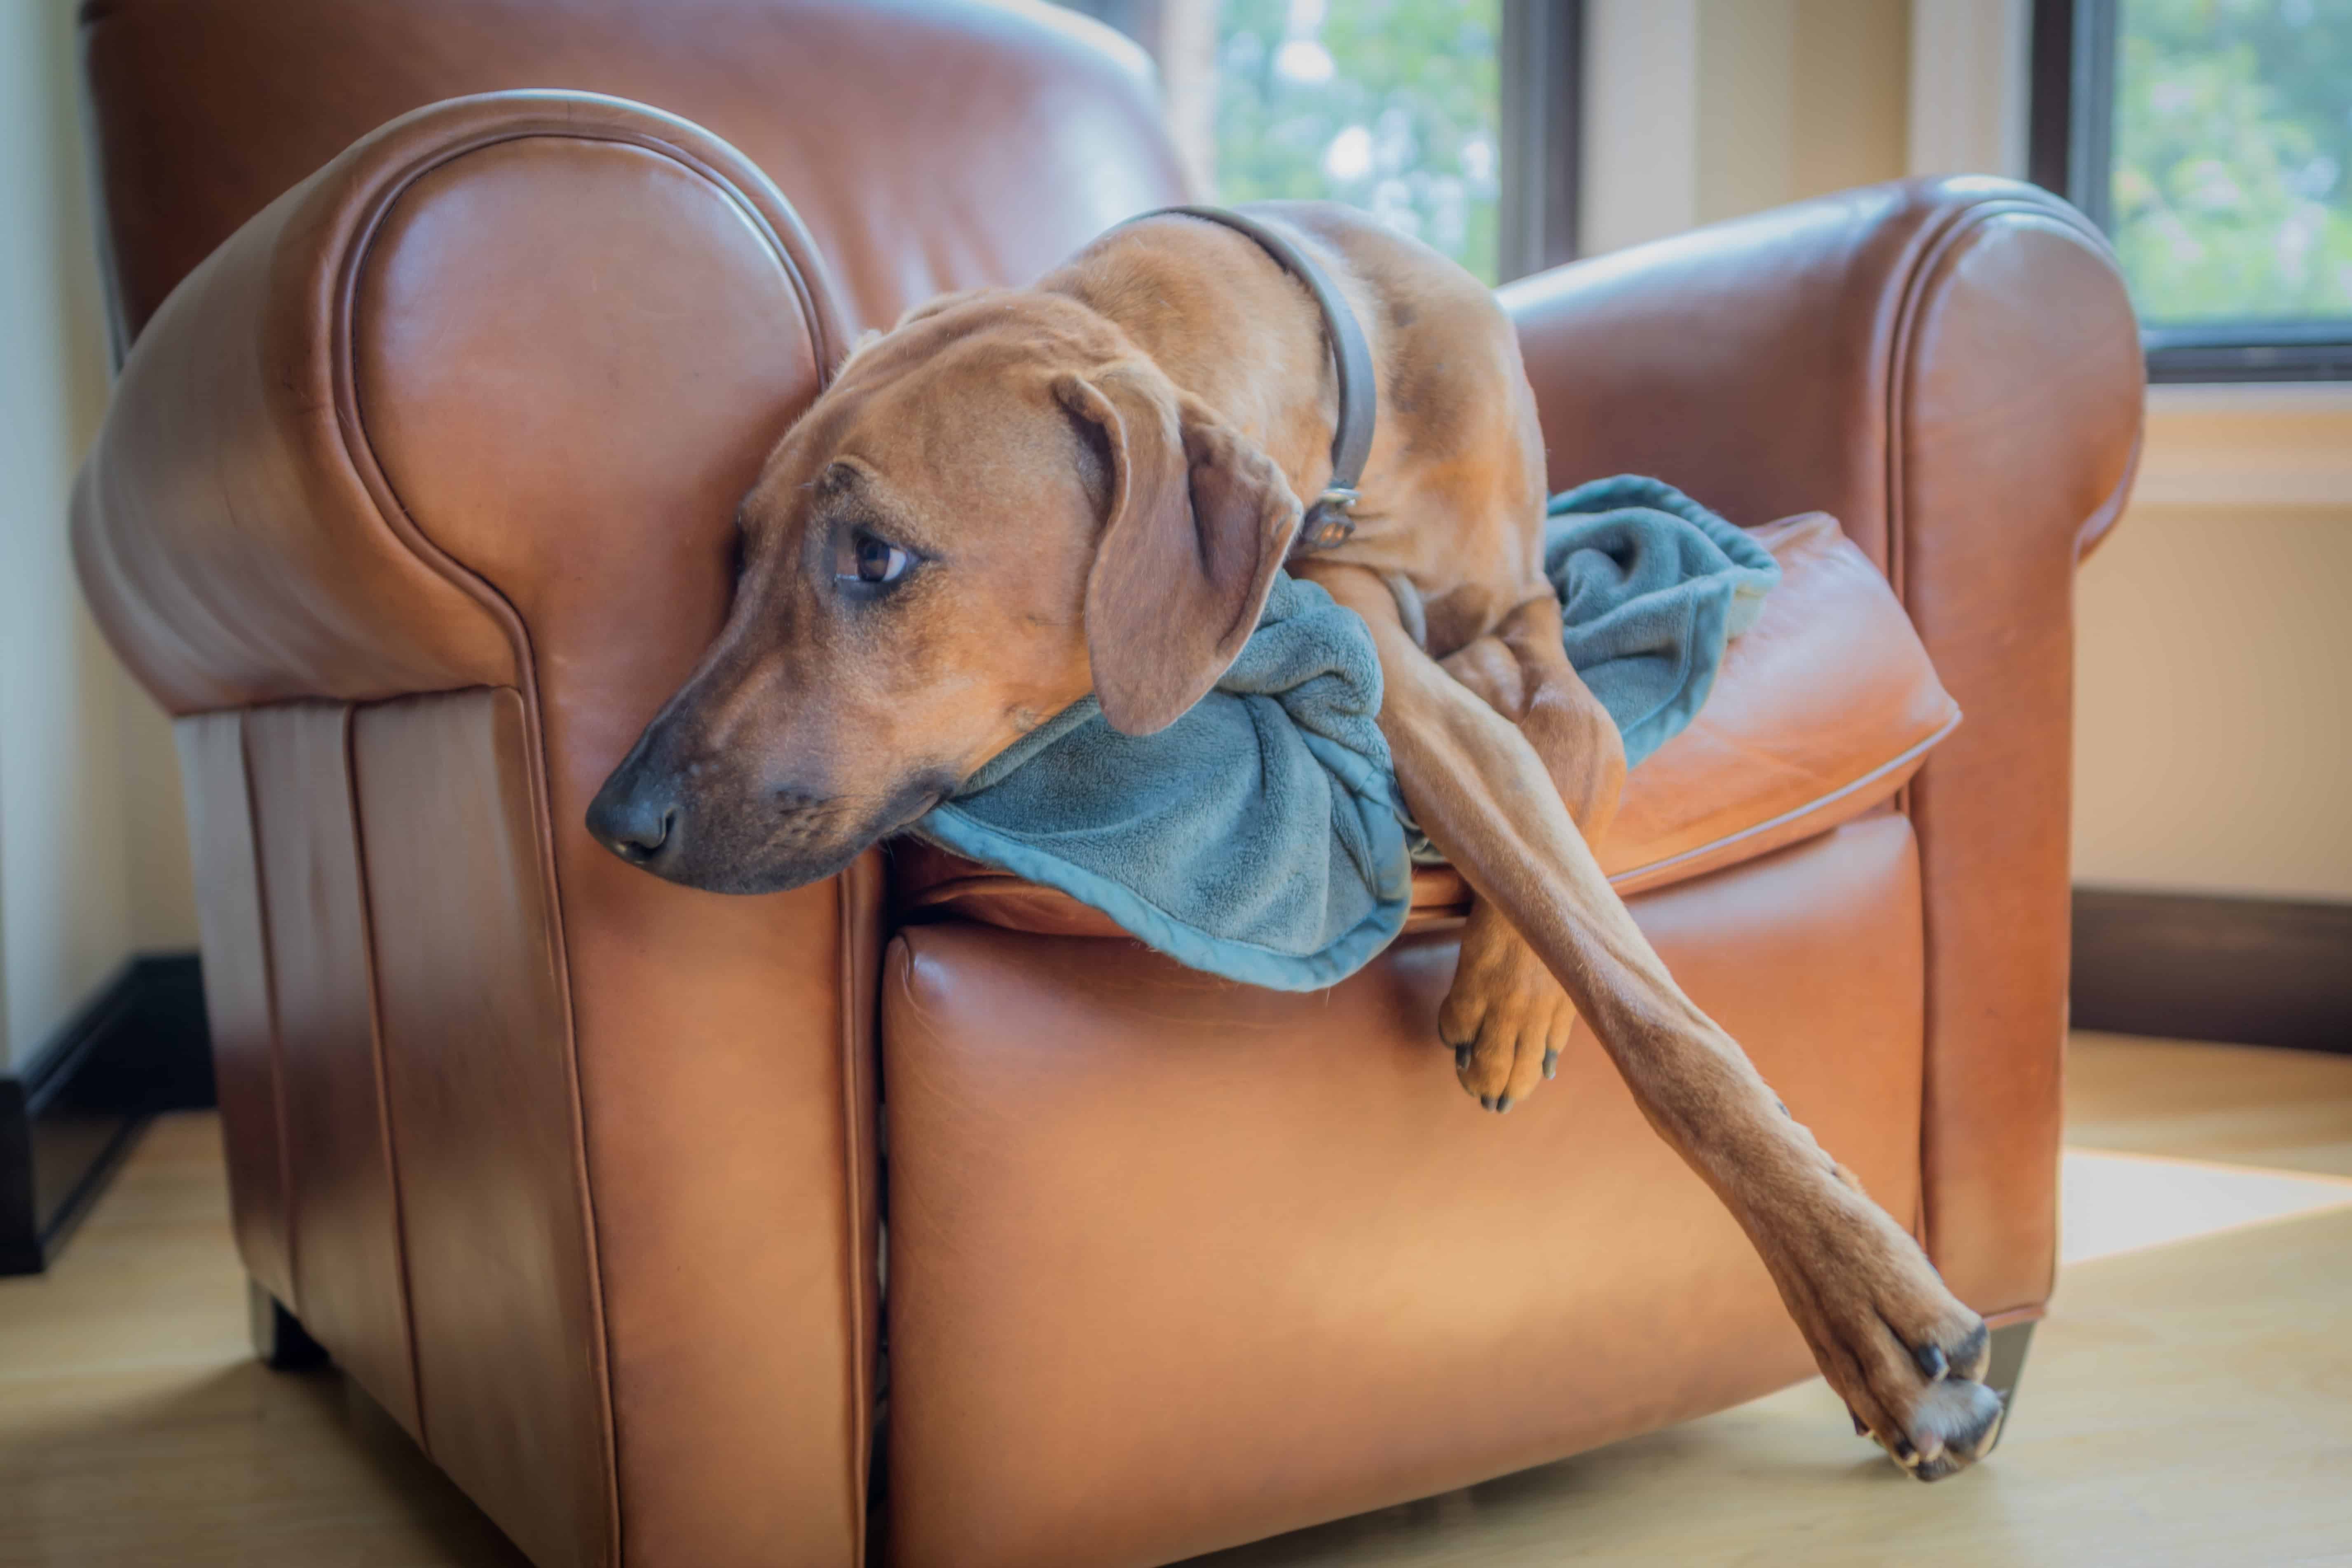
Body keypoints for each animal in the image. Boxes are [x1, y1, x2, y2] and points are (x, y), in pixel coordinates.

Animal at [583, 202, 2004, 1476]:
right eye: (739, 550)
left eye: (874, 556)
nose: (614, 817)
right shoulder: (1367, 631)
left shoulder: (1529, 604)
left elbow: (1592, 774)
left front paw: (1514, 992)